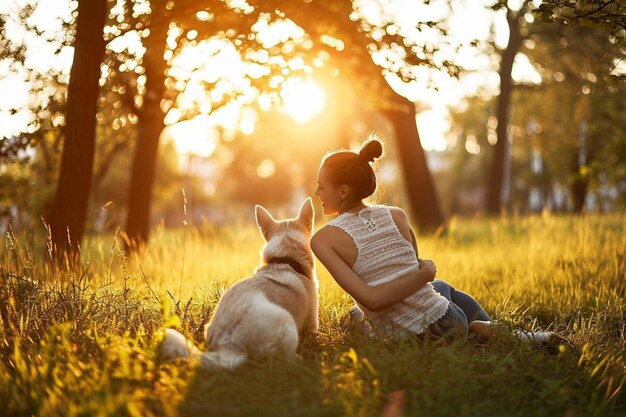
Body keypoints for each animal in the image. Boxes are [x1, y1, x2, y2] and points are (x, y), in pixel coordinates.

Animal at [158, 197, 320, 368]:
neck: (285, 260)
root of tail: (229, 346)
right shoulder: (312, 321)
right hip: (285, 320)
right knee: (284, 359)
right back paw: (301, 360)